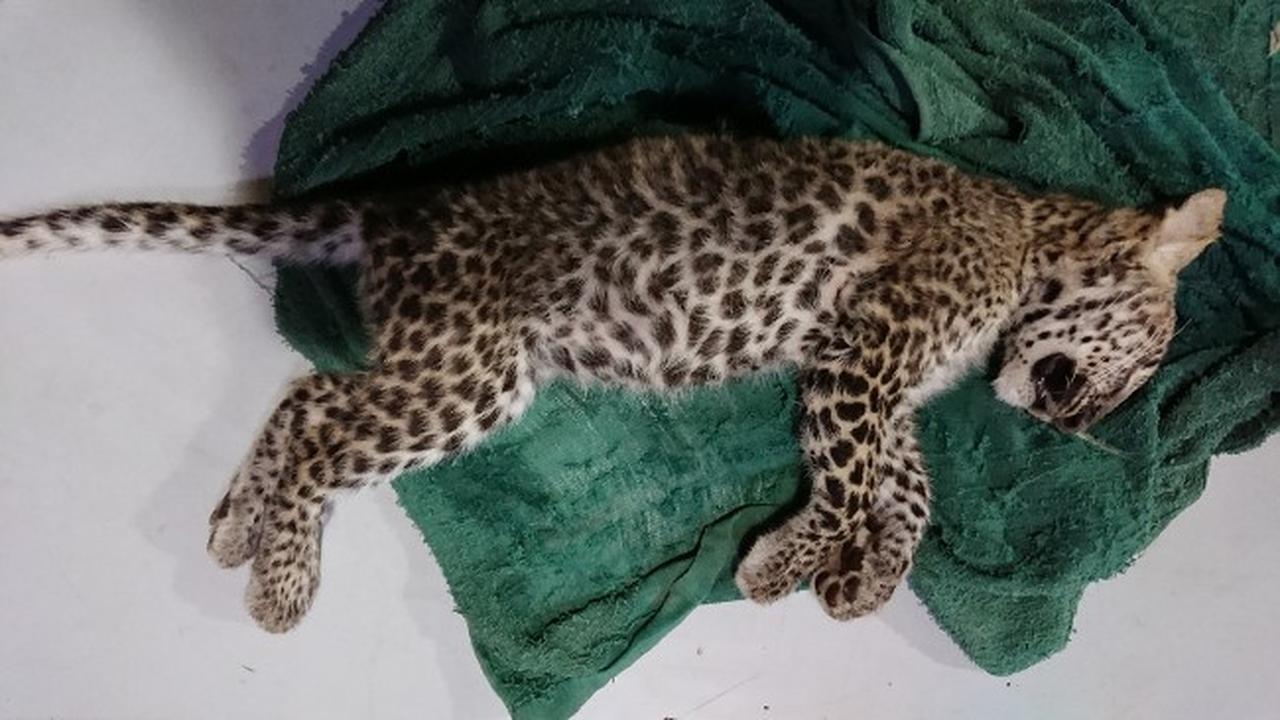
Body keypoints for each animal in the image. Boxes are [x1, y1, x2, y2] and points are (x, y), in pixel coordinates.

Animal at [0, 135, 1225, 632]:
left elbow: (908, 489)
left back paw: (233, 529)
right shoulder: (860, 360)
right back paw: (284, 583)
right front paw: (790, 563)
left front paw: (863, 577)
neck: (1029, 233)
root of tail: (402, 208)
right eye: (1142, 364)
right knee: (326, 428)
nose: (1084, 419)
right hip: (477, 373)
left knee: (309, 401)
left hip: (444, 364)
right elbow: (852, 480)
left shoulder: (873, 380)